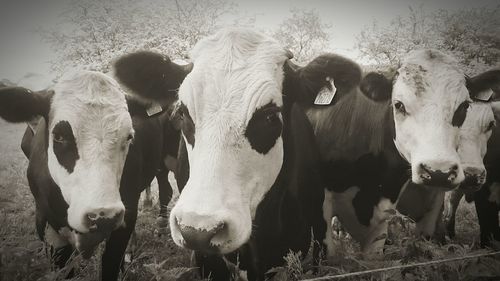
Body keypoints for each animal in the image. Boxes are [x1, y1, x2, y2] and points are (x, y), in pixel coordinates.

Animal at [0, 68, 187, 280]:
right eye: (59, 136)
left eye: (129, 136)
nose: (102, 216)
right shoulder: (48, 227)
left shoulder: (124, 218)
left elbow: (111, 264)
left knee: (165, 188)